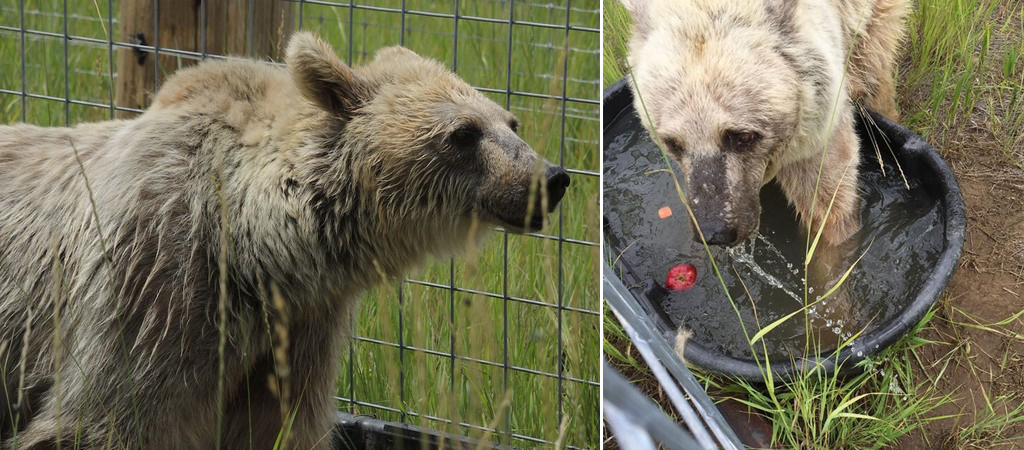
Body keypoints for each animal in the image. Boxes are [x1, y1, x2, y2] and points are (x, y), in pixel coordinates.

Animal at [0, 30, 573, 446]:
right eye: (464, 133)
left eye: (511, 121)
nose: (550, 178)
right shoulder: (154, 290)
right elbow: (102, 418)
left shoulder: (299, 329)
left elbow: (275, 425)